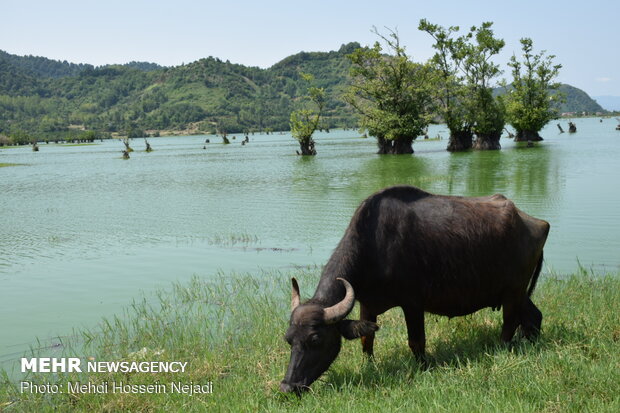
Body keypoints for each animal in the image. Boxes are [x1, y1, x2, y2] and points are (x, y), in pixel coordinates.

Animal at [280, 186, 548, 392]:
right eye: (288, 339)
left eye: (316, 339)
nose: (288, 387)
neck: (375, 246)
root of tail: (535, 223)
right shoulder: (367, 304)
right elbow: (367, 339)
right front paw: (369, 366)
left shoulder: (413, 304)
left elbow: (416, 341)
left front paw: (423, 368)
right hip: (516, 293)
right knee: (533, 316)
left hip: (513, 291)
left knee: (509, 323)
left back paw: (501, 349)